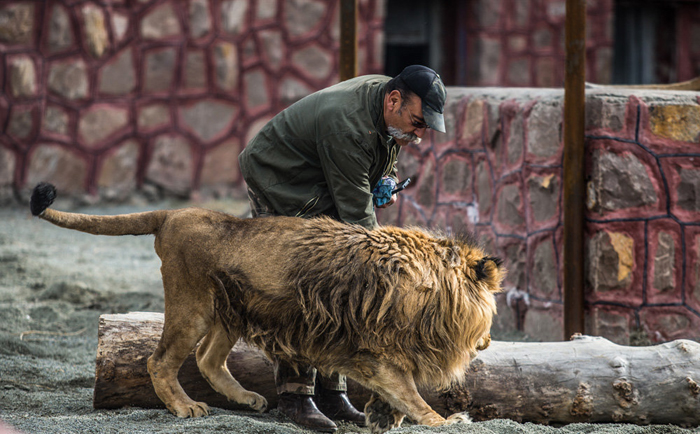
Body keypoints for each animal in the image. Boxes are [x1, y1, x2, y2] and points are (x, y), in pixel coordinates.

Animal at [28, 181, 504, 432]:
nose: (488, 342)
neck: (435, 292)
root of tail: (173, 214)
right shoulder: (377, 353)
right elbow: (411, 395)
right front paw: (447, 420)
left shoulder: (377, 355)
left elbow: (397, 397)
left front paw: (379, 418)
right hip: (191, 304)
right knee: (160, 360)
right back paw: (185, 408)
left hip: (231, 311)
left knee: (208, 358)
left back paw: (249, 399)